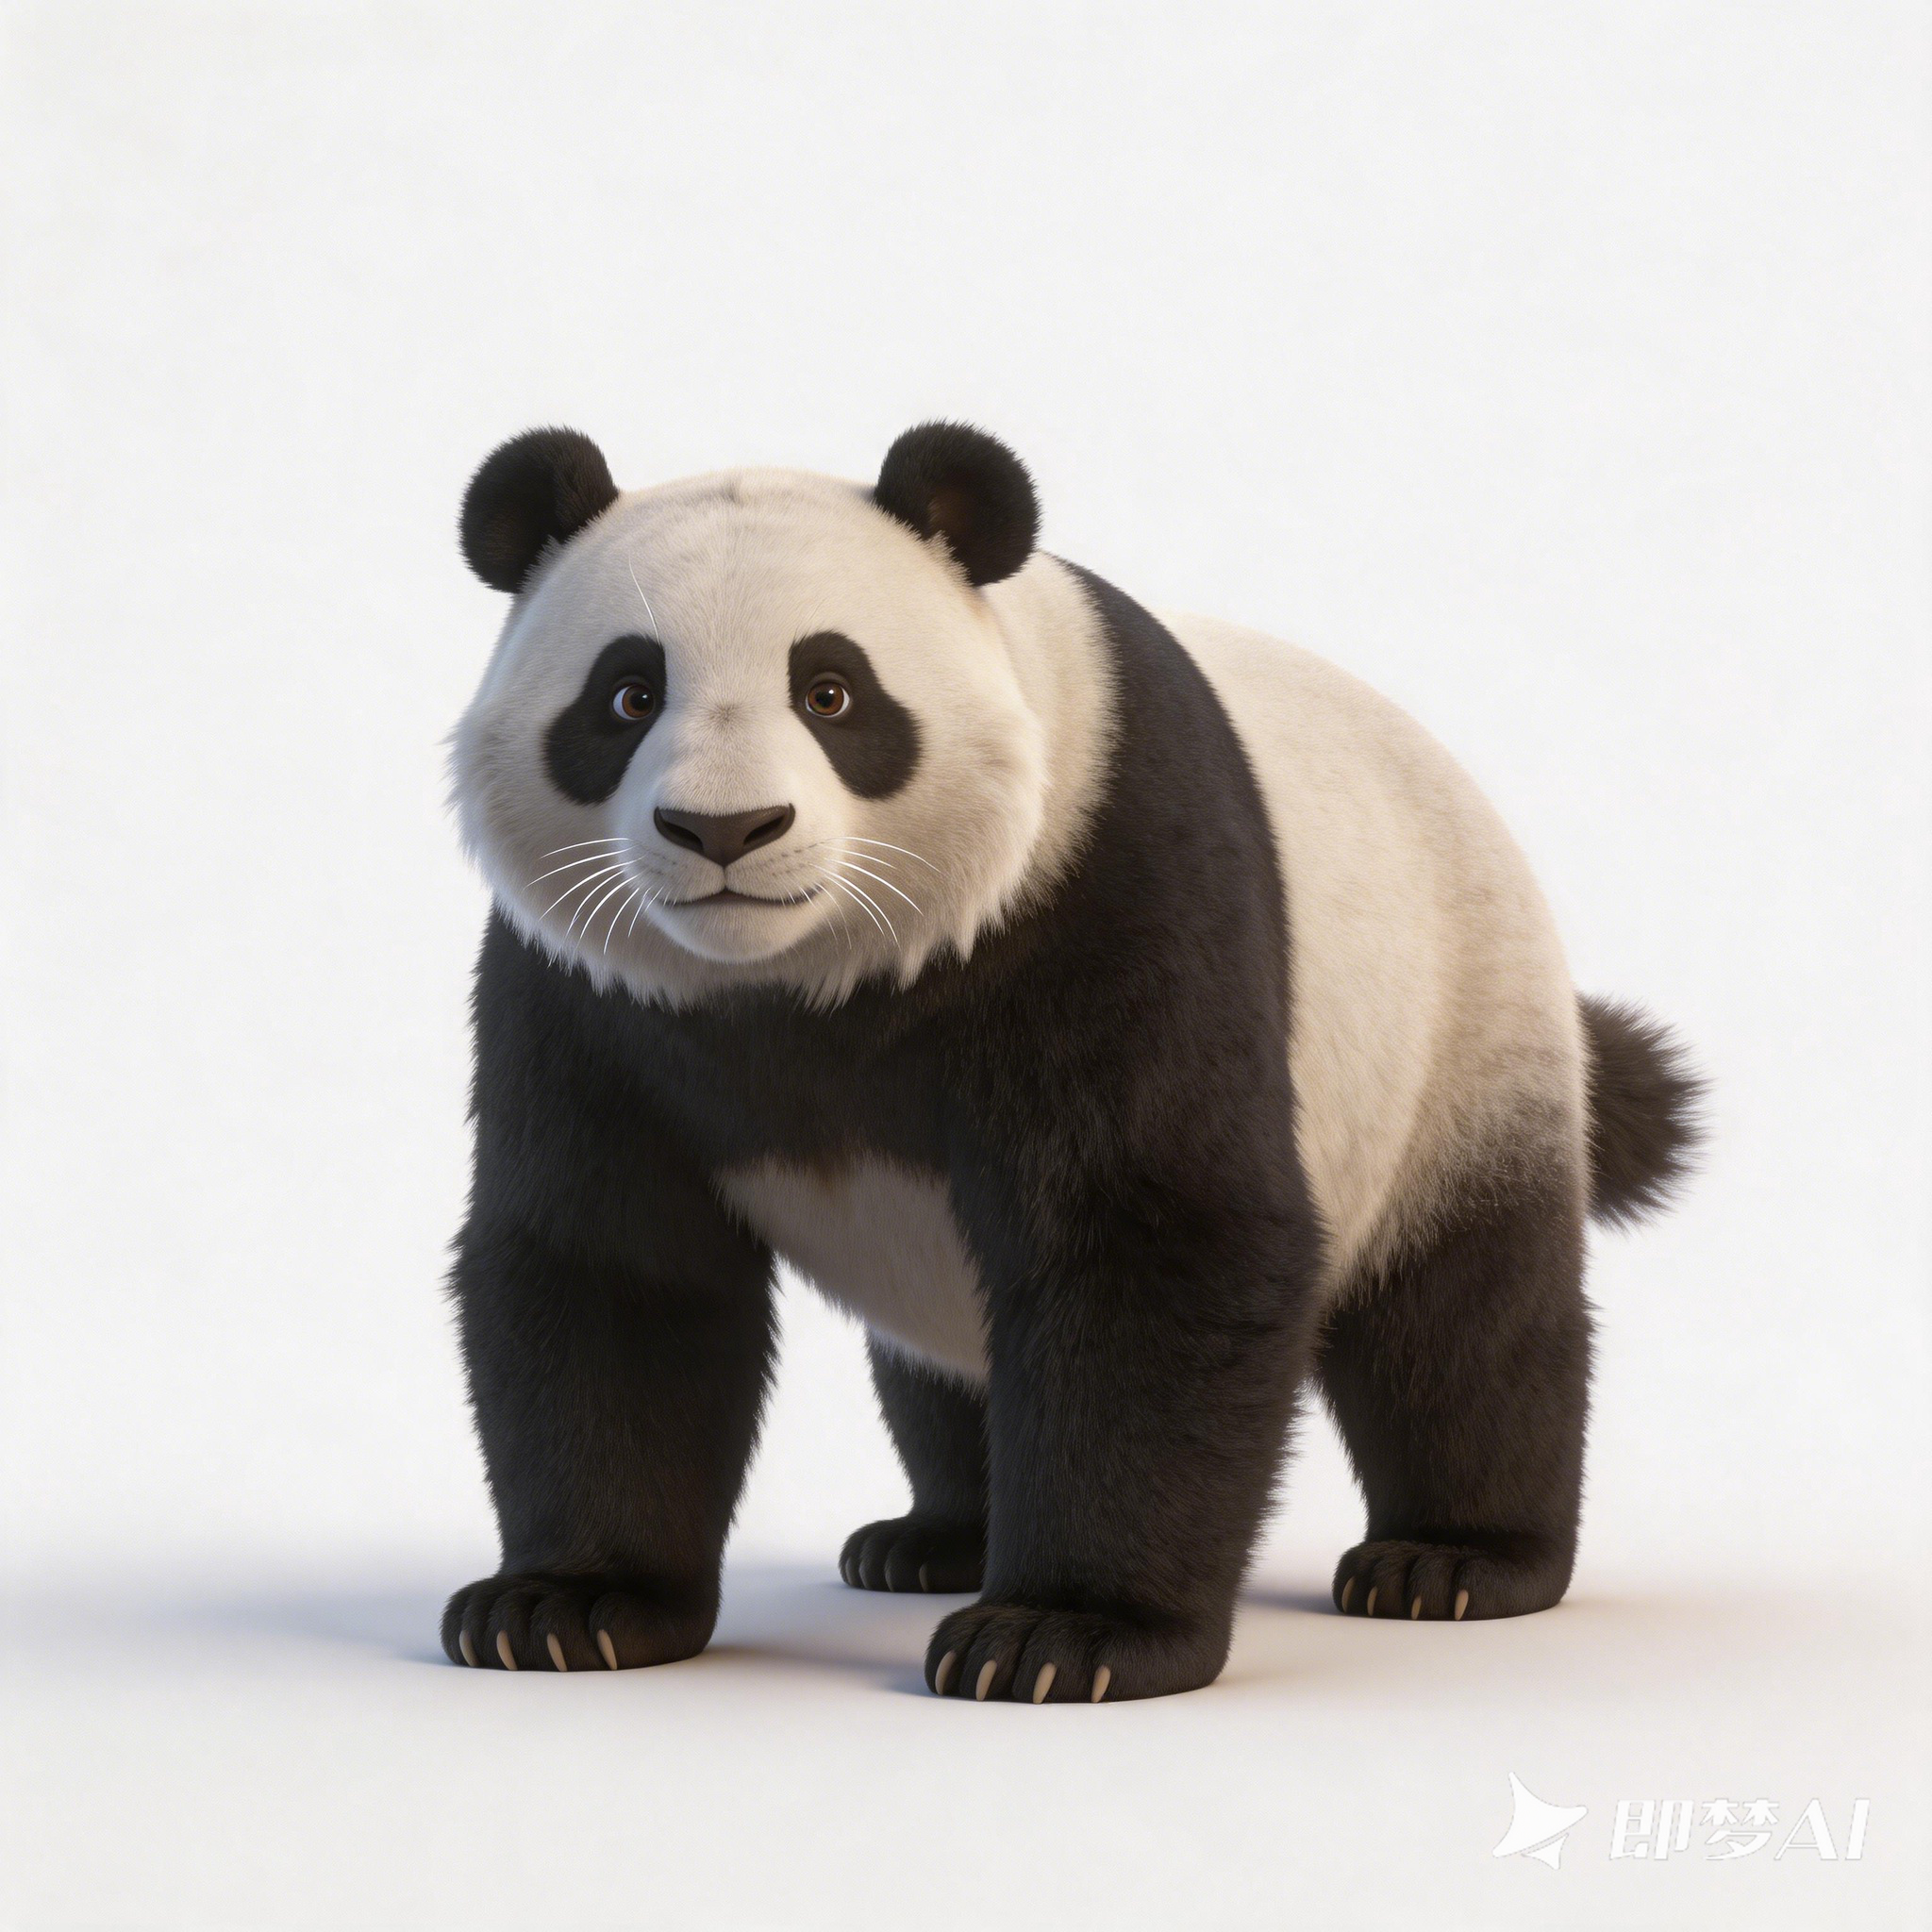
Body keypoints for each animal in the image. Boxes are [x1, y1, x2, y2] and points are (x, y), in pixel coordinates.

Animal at [441, 420, 1700, 1702]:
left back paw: (1452, 1559)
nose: (724, 831)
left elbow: (1148, 1241)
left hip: (1456, 1034)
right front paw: (570, 1603)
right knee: (945, 1362)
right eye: (627, 694)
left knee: (1460, 1321)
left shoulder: (1105, 883)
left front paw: (1065, 1633)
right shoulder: (586, 993)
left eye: (831, 690)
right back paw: (934, 1538)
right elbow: (613, 1273)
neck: (797, 977)